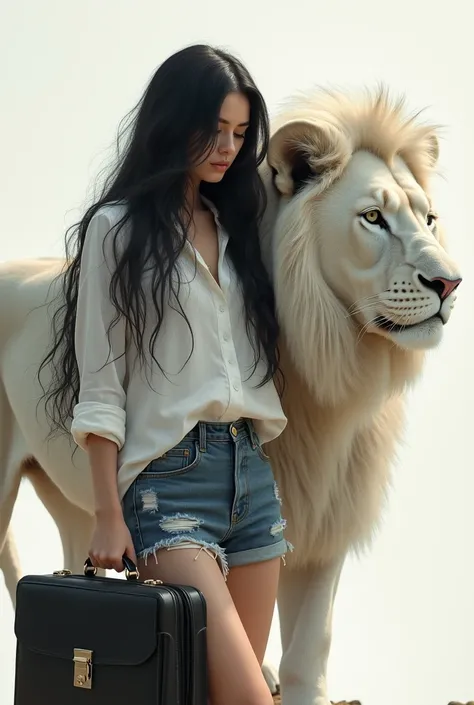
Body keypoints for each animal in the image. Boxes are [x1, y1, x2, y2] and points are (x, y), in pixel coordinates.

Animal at [0, 88, 460, 704]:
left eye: (428, 218)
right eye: (372, 218)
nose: (450, 283)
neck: (333, 375)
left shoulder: (323, 521)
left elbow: (307, 656)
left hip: (75, 503)